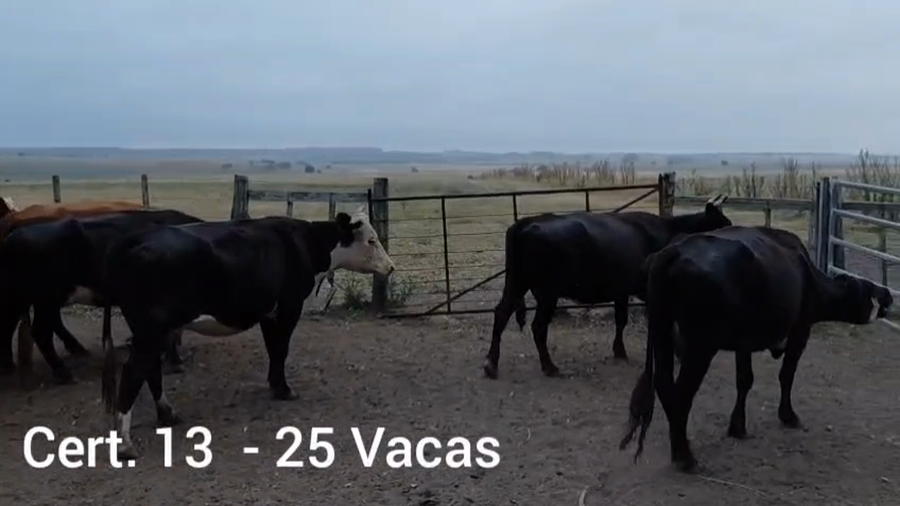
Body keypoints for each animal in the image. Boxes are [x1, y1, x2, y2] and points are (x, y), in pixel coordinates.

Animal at [0, 209, 205, 384]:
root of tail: (13, 237)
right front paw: (175, 360)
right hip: (46, 297)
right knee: (41, 331)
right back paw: (65, 373)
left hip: (24, 297)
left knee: (10, 324)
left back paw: (10, 365)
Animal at [98, 207, 394, 459]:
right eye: (371, 240)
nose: (391, 267)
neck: (303, 243)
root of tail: (132, 241)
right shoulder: (289, 307)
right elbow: (281, 349)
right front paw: (284, 389)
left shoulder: (268, 312)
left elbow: (273, 349)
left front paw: (275, 385)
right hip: (152, 329)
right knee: (134, 371)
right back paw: (125, 444)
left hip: (152, 330)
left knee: (150, 369)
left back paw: (167, 414)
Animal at [482, 195, 732, 380]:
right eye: (723, 221)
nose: (734, 232)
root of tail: (525, 222)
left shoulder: (622, 290)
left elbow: (620, 319)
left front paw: (619, 351)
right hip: (547, 292)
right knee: (538, 326)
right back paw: (549, 367)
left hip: (516, 282)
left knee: (502, 313)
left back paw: (491, 365)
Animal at [619, 225, 894, 472]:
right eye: (867, 290)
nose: (889, 293)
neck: (808, 274)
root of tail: (671, 252)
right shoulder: (800, 329)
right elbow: (786, 374)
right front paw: (787, 415)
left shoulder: (744, 342)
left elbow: (744, 380)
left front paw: (737, 426)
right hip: (700, 344)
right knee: (682, 392)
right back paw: (685, 457)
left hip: (662, 331)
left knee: (664, 384)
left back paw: (679, 450)